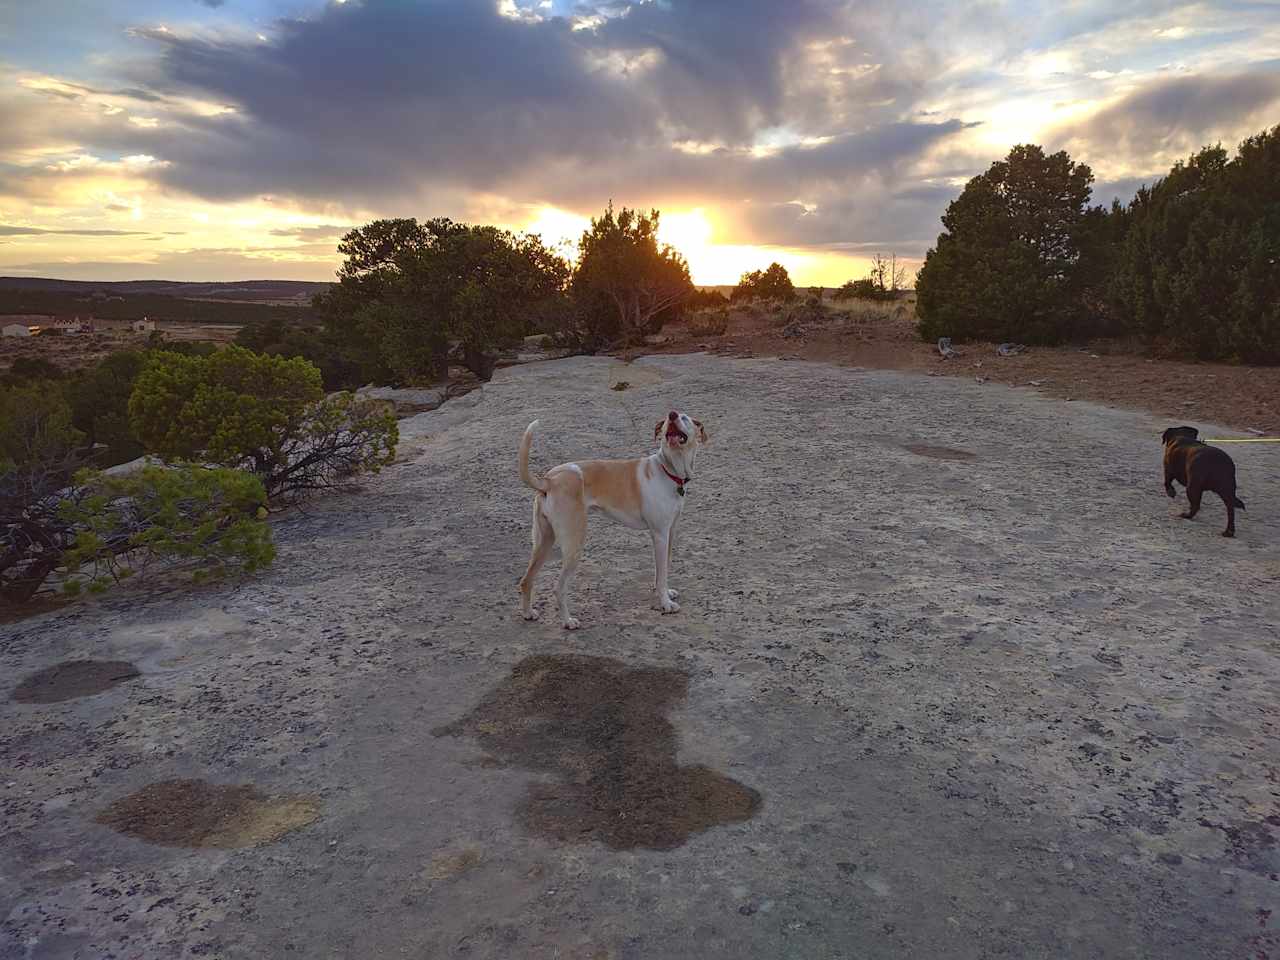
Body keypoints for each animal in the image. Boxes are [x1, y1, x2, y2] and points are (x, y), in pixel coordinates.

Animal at [514, 412, 706, 632]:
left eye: (684, 418)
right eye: (668, 420)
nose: (672, 414)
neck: (668, 468)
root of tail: (549, 479)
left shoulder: (669, 533)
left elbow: (662, 569)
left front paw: (665, 593)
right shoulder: (660, 535)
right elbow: (662, 573)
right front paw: (665, 603)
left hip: (544, 542)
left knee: (526, 580)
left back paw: (528, 613)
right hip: (573, 545)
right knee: (558, 588)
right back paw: (568, 621)